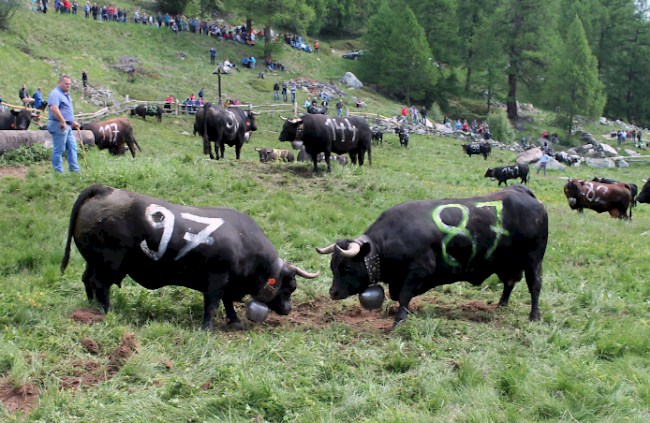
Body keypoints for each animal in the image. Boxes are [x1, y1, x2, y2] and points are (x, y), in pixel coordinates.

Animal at [62, 186, 320, 332]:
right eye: (290, 287)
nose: (288, 310)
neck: (245, 241)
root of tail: (104, 190)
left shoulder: (228, 282)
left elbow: (227, 303)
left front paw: (235, 321)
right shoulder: (217, 277)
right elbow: (213, 304)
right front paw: (206, 329)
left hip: (93, 262)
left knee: (87, 280)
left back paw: (90, 309)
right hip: (109, 264)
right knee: (100, 286)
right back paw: (104, 313)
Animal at [316, 184, 548, 326]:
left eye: (347, 266)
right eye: (332, 266)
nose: (333, 292)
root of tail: (520, 190)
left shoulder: (419, 270)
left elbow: (404, 295)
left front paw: (399, 320)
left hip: (533, 259)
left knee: (534, 285)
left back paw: (534, 316)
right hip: (509, 262)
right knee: (510, 282)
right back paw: (502, 305)